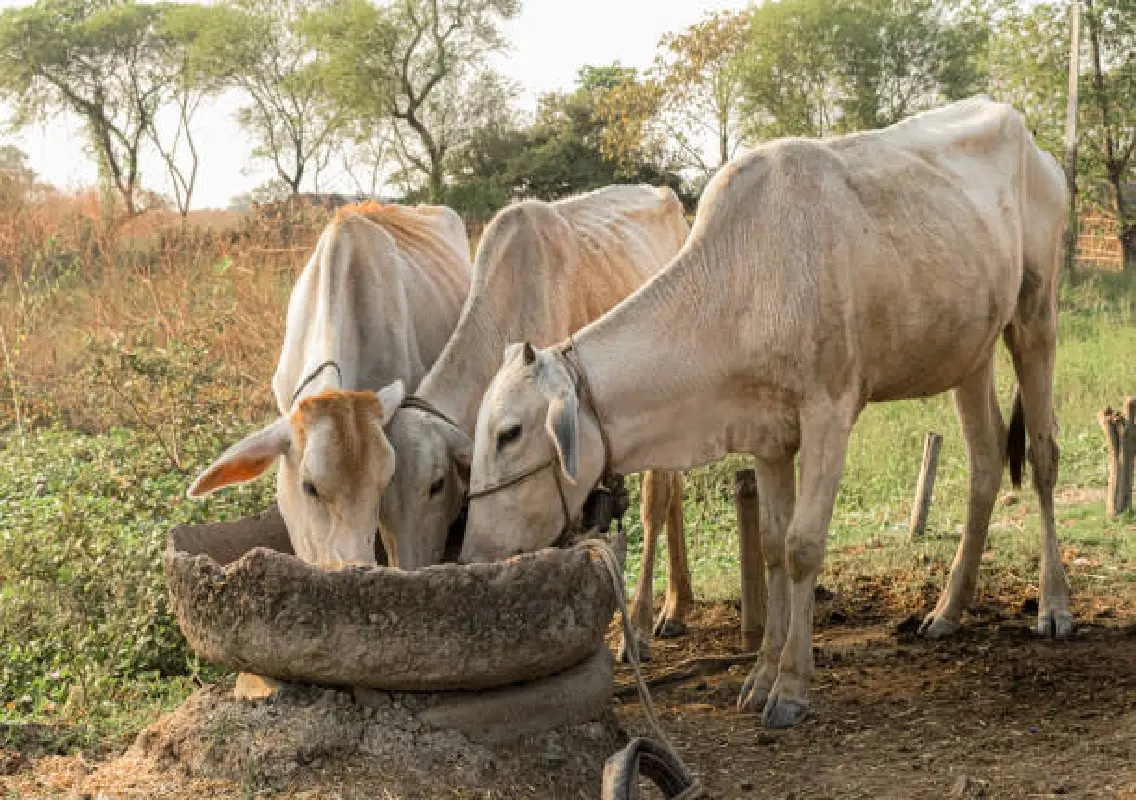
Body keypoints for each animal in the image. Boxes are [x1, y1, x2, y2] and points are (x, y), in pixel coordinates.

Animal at [375, 185, 694, 658]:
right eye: (379, 500)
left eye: (436, 484)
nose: (408, 571)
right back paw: (678, 604)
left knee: (658, 501)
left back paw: (643, 622)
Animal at [459, 96, 1072, 729]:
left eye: (509, 433)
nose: (471, 554)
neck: (741, 284)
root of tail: (1026, 134)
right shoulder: (767, 433)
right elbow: (774, 546)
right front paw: (760, 675)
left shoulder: (829, 412)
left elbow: (803, 546)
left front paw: (792, 685)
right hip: (970, 352)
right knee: (985, 460)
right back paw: (949, 609)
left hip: (1036, 315)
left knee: (1043, 455)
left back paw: (1052, 606)